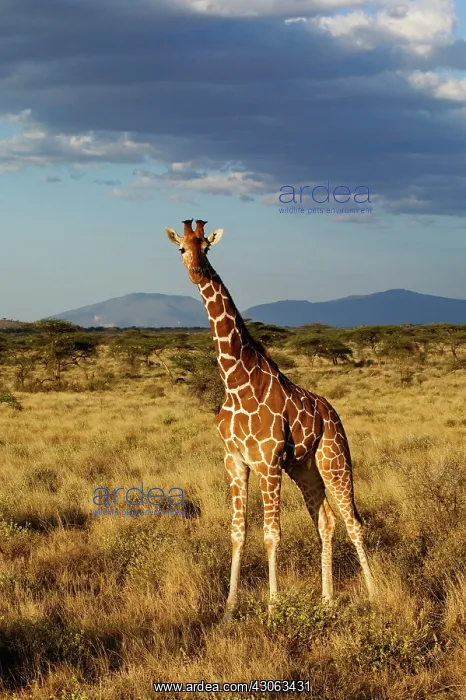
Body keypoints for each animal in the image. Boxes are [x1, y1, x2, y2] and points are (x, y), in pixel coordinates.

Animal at [165, 218, 376, 620]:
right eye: (181, 248)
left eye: (206, 247)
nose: (196, 270)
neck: (235, 381)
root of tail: (333, 413)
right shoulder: (235, 461)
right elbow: (238, 531)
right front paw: (230, 606)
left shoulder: (268, 461)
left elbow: (271, 533)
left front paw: (274, 605)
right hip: (305, 467)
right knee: (326, 521)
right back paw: (327, 599)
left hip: (334, 459)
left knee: (353, 522)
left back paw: (377, 594)